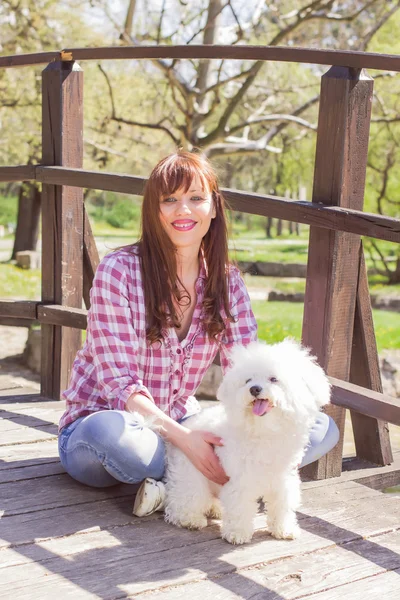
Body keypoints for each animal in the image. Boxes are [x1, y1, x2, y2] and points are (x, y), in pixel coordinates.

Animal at [163, 340, 332, 548]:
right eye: (248, 380)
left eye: (273, 379)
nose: (255, 389)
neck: (265, 431)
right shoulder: (240, 480)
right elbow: (239, 507)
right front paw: (237, 533)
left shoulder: (282, 478)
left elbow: (282, 505)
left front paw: (284, 529)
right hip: (191, 475)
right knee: (183, 501)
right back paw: (191, 519)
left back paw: (215, 509)